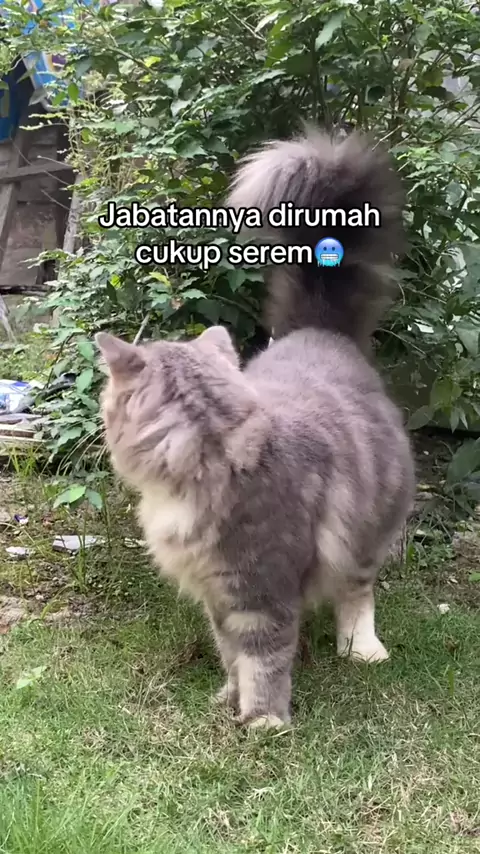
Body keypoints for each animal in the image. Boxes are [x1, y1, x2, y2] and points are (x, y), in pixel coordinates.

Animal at [96, 126, 415, 730]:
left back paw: (361, 649)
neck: (206, 457)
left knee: (358, 590)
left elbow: (264, 659)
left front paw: (265, 722)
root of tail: (322, 333)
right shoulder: (218, 596)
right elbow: (230, 653)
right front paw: (228, 699)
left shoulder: (260, 591)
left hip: (369, 529)